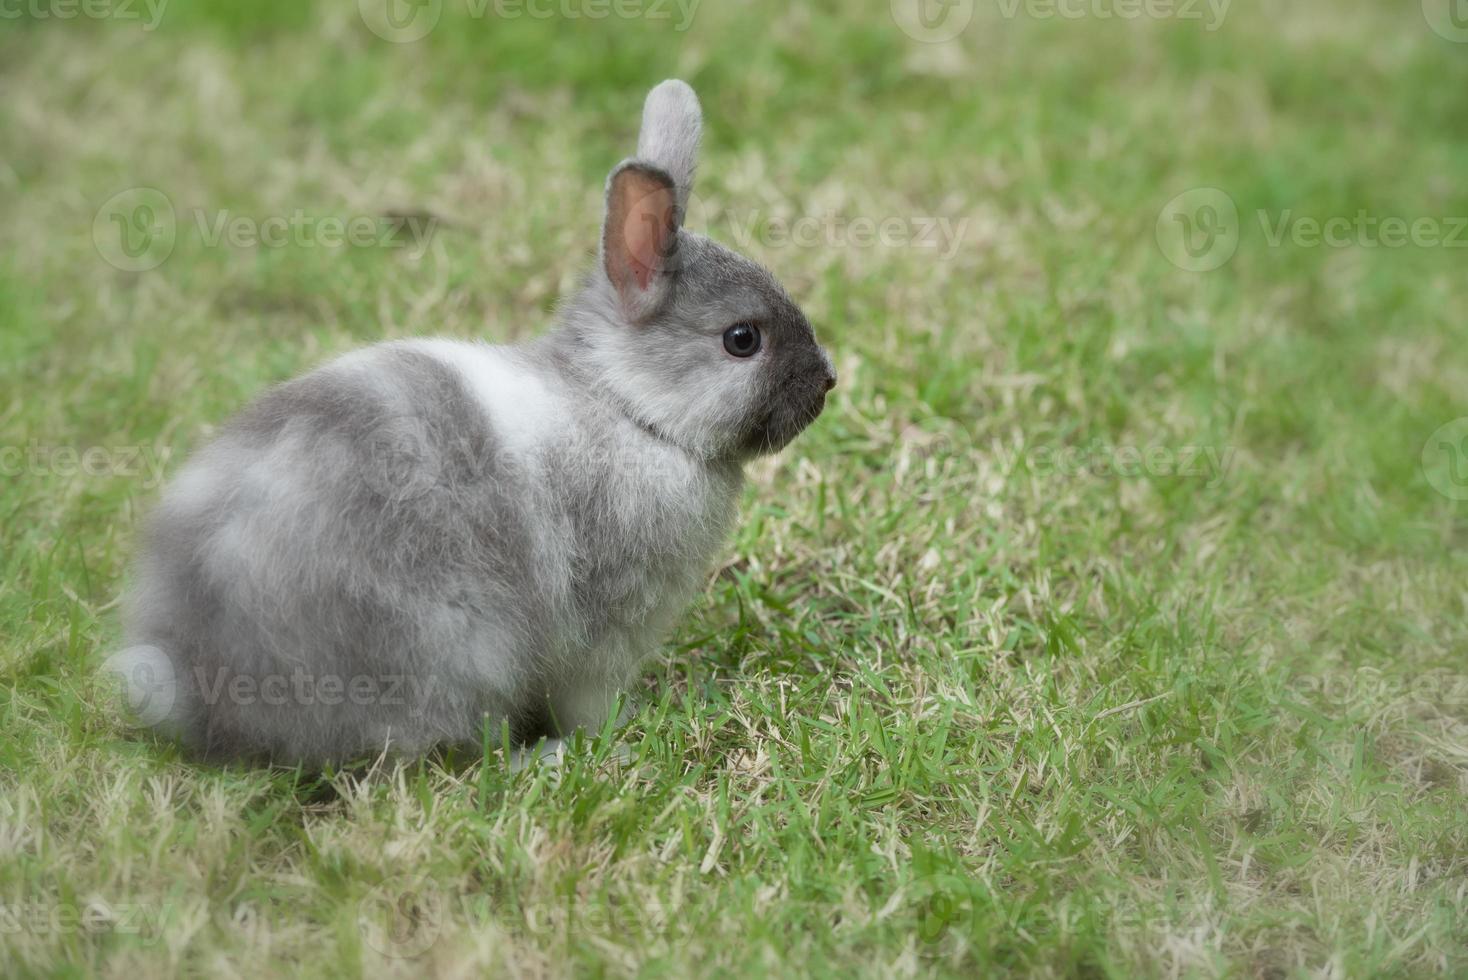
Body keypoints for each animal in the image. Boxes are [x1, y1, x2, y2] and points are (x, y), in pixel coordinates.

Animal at [117, 80, 839, 762]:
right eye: (742, 339)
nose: (828, 382)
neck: (627, 410)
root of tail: (194, 674)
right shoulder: (606, 633)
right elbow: (589, 697)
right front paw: (615, 734)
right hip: (462, 649)